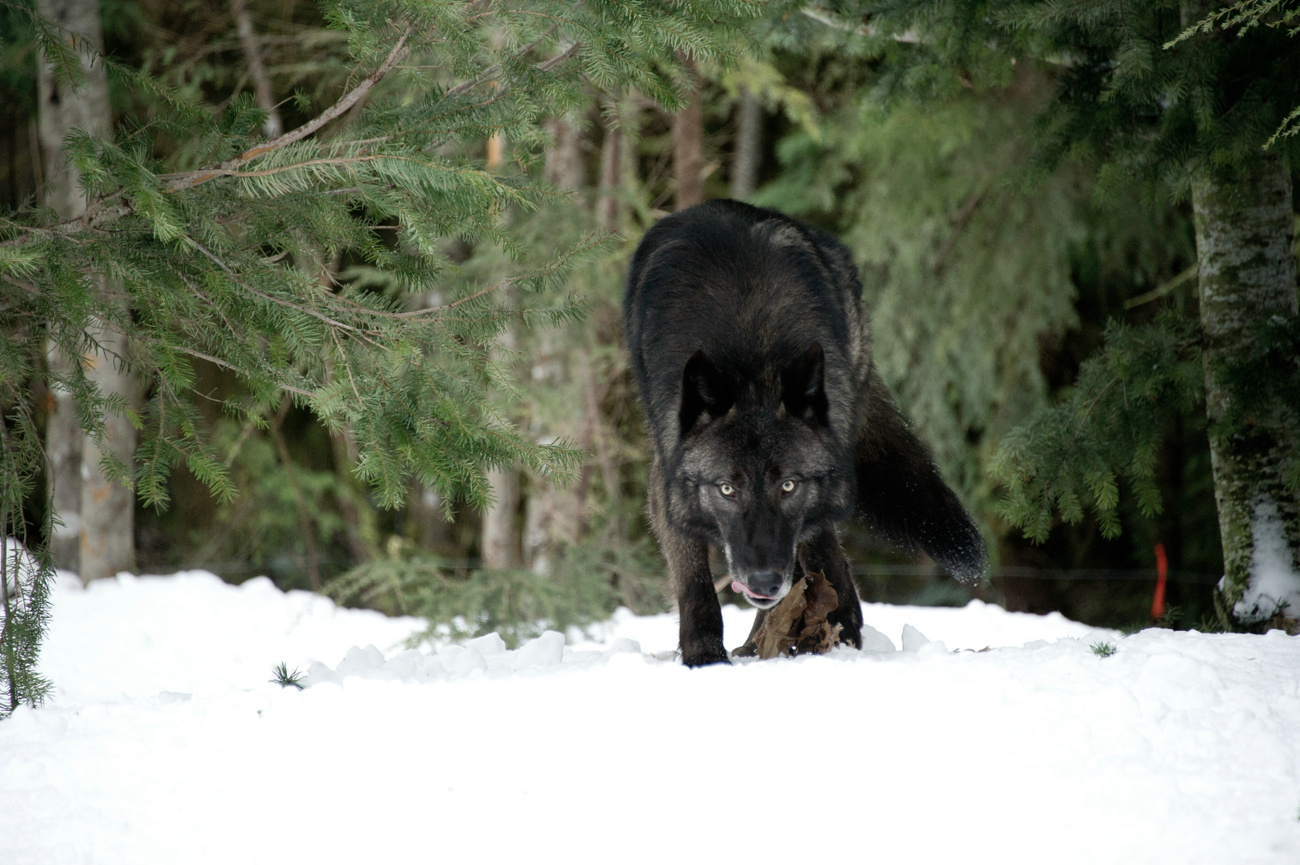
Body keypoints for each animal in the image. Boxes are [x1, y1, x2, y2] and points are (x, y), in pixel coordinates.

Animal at [621, 199, 982, 663]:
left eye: (788, 485)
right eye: (726, 489)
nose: (762, 581)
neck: (752, 355)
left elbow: (817, 551)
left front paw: (837, 627)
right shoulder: (667, 480)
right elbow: (694, 582)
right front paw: (705, 657)